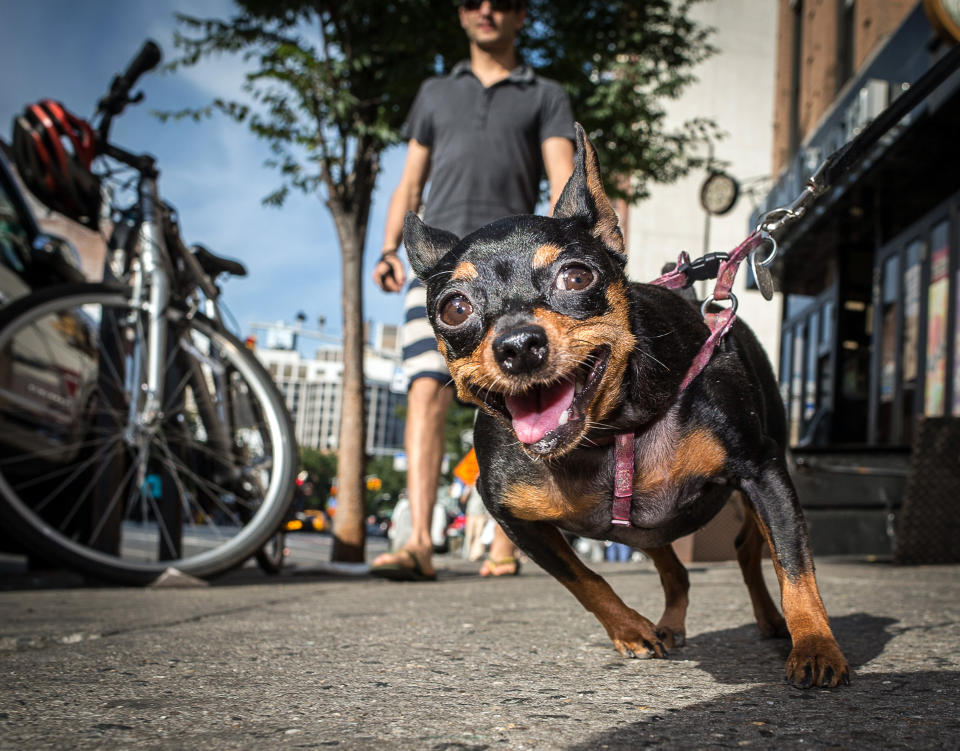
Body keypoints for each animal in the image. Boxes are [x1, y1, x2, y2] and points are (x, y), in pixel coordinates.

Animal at [402, 125, 852, 692]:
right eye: (454, 308)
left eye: (576, 278)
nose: (519, 345)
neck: (607, 433)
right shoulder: (509, 513)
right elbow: (584, 578)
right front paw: (632, 631)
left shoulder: (762, 469)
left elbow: (795, 567)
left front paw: (816, 645)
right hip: (646, 530)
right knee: (676, 571)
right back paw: (669, 624)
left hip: (751, 489)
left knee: (751, 553)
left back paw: (774, 621)